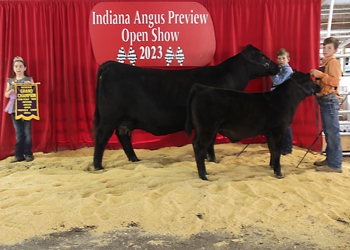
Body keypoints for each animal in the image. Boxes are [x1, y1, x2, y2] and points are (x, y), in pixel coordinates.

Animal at [92, 44, 278, 170]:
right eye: (261, 56)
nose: (277, 66)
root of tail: (111, 65)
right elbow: (210, 142)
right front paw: (213, 160)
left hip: (125, 120)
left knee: (123, 136)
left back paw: (134, 159)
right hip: (110, 117)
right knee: (101, 136)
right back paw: (97, 166)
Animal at [186, 70, 318, 180]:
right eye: (311, 80)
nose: (320, 86)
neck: (285, 99)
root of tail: (201, 87)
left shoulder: (269, 133)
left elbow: (272, 149)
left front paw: (272, 167)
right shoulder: (279, 130)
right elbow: (276, 151)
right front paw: (279, 173)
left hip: (200, 128)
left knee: (195, 143)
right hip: (207, 128)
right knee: (199, 146)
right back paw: (203, 175)